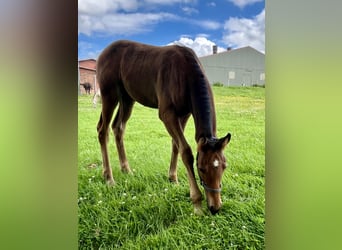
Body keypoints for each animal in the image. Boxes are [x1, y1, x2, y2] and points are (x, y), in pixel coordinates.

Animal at [95, 39, 232, 215]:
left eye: (224, 166)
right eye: (201, 168)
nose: (215, 207)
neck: (184, 72)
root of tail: (104, 52)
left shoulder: (184, 113)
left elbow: (176, 145)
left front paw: (173, 178)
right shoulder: (167, 114)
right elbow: (186, 151)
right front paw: (196, 203)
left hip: (127, 99)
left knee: (118, 128)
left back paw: (126, 169)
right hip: (109, 95)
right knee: (102, 130)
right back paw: (109, 178)